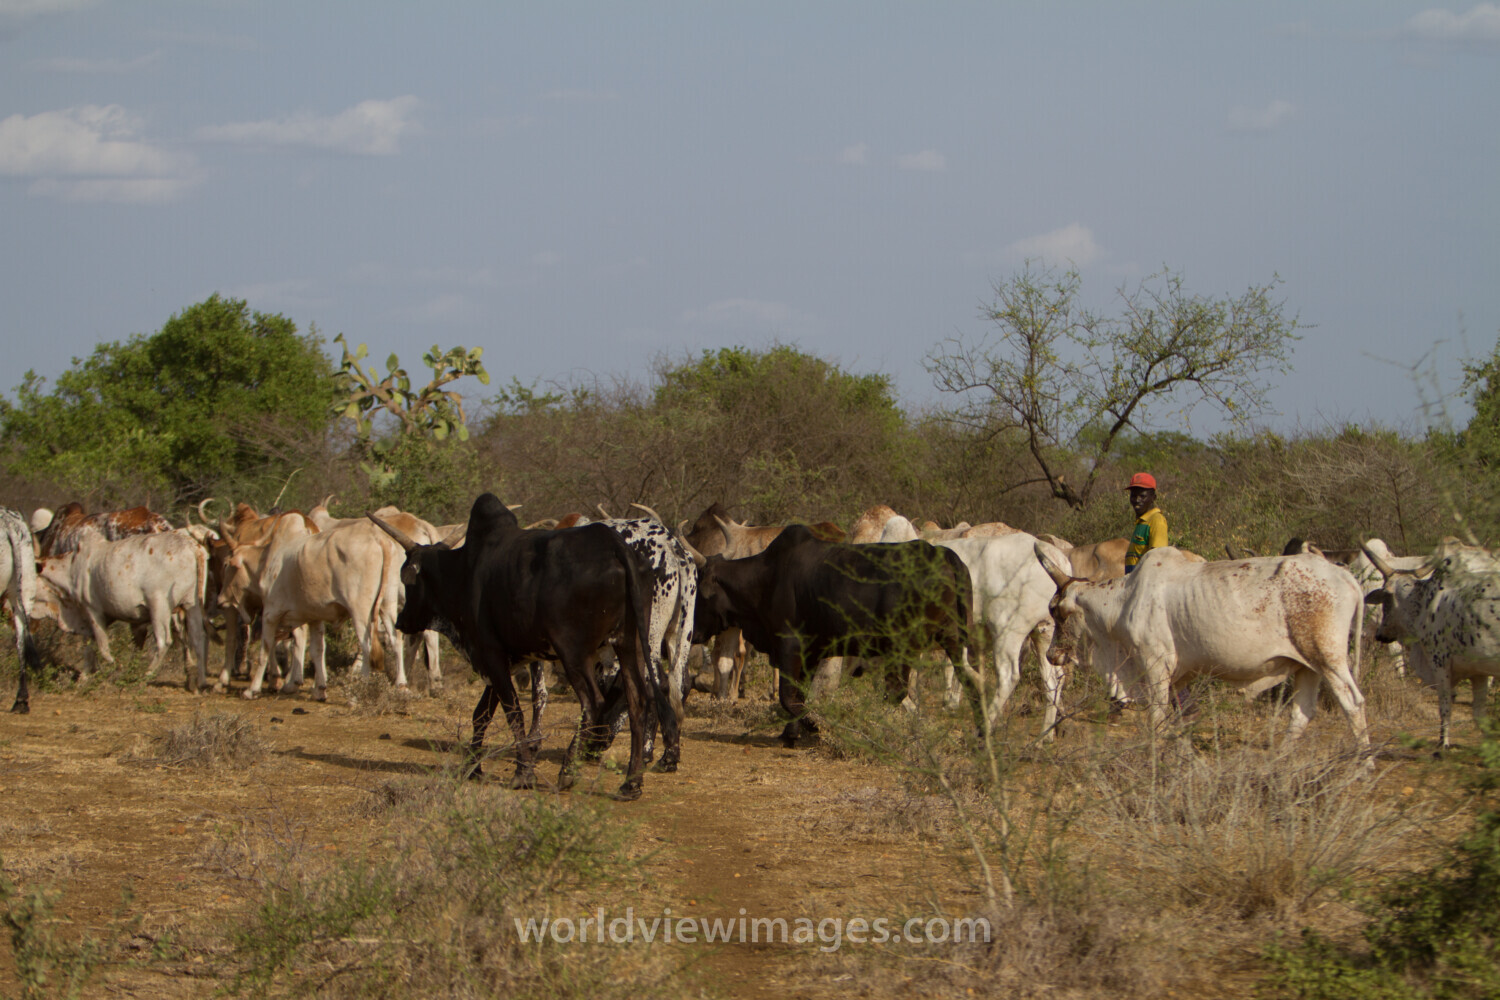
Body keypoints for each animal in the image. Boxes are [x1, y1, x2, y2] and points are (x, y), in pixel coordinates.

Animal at [32, 531, 210, 691]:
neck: (71, 569)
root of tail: (192, 546)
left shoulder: (92, 610)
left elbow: (103, 648)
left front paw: (115, 670)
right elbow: (89, 648)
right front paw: (84, 678)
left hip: (159, 606)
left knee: (164, 641)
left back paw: (144, 676)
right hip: (191, 604)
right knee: (198, 638)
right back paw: (201, 682)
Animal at [368, 494, 665, 799]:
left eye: (408, 579)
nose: (402, 621)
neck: (463, 572)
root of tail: (615, 546)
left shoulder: (491, 655)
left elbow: (513, 713)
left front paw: (523, 774)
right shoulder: (501, 661)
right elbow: (481, 715)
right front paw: (473, 768)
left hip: (573, 653)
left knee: (593, 702)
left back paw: (568, 773)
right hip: (630, 645)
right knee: (637, 700)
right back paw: (631, 783)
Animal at [687, 525, 977, 748]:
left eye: (698, 591)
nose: (693, 633)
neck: (767, 578)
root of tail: (942, 554)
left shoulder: (790, 647)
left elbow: (788, 697)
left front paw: (816, 725)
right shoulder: (810, 654)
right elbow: (798, 695)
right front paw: (790, 734)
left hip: (902, 648)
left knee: (895, 692)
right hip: (954, 641)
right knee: (971, 682)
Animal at [1034, 544, 1371, 759]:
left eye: (1057, 612)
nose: (1052, 655)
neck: (1125, 600)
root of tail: (1346, 577)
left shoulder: (1155, 666)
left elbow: (1157, 719)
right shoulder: (1179, 677)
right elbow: (1182, 717)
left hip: (1327, 658)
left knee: (1353, 702)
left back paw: (1364, 765)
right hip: (1307, 667)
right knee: (1303, 712)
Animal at [1362, 541, 1500, 748]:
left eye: (1385, 599)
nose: (1380, 635)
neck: (1424, 603)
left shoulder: (1439, 663)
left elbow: (1445, 708)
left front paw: (1443, 743)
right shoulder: (1478, 672)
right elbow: (1479, 715)